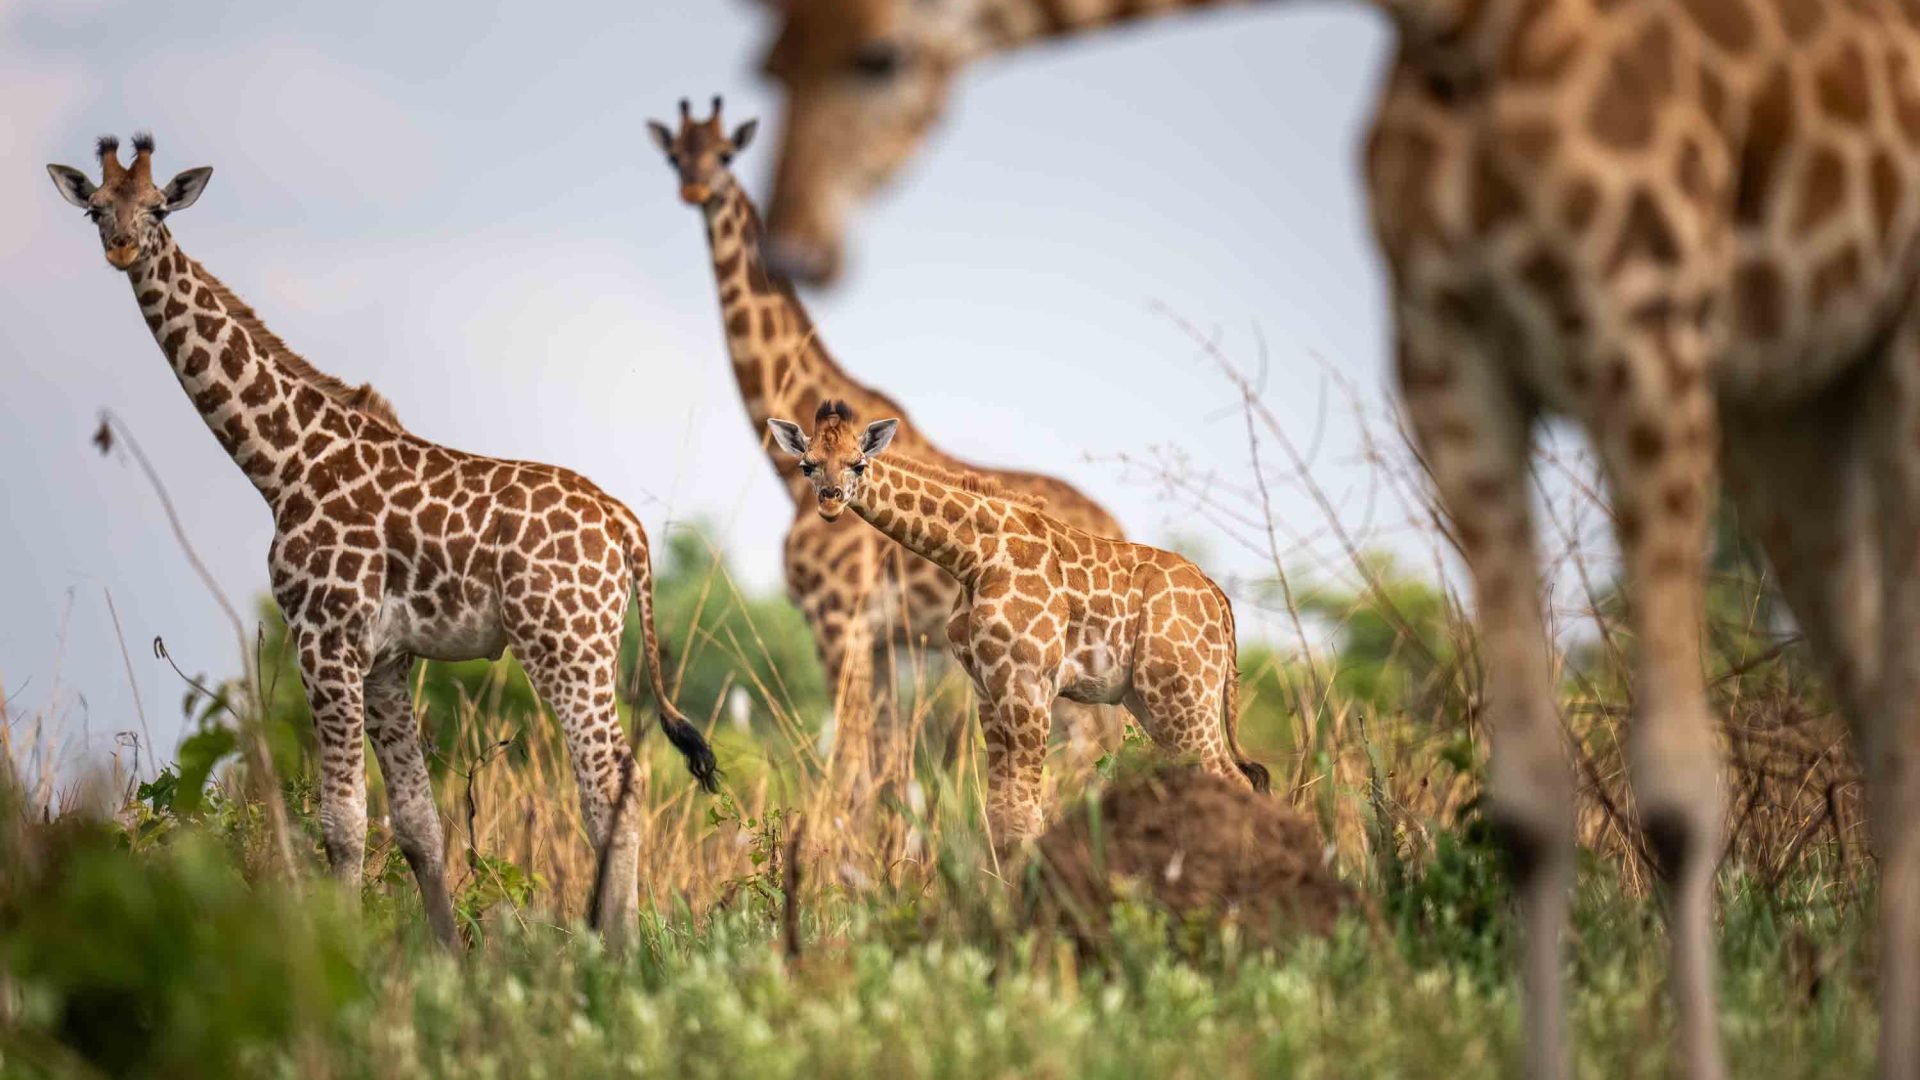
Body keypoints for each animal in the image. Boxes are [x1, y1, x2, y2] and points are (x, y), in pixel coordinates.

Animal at [47, 134, 718, 945]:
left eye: (156, 208)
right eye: (94, 207)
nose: (120, 247)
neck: (282, 463)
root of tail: (627, 530)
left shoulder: (325, 634)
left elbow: (342, 824)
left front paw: (341, 957)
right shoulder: (387, 659)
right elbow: (418, 825)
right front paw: (447, 958)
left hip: (564, 643)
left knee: (614, 778)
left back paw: (616, 949)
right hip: (587, 646)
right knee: (614, 780)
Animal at [648, 95, 1129, 800]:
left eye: (727, 153)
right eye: (674, 156)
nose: (695, 190)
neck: (788, 476)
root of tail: (1117, 526)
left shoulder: (838, 618)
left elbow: (847, 767)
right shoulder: (878, 640)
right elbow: (880, 772)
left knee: (1092, 749)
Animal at [769, 401, 1269, 851]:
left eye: (859, 464)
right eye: (807, 466)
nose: (830, 503)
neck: (974, 557)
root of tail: (1219, 600)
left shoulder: (1030, 684)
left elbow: (1026, 812)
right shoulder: (987, 688)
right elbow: (1000, 812)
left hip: (1183, 696)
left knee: (1231, 778)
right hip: (1152, 702)